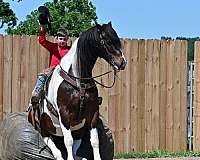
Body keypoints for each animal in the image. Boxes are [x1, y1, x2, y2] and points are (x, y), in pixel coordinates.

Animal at [28, 21, 126, 160]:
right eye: (107, 41)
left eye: (117, 40)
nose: (122, 62)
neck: (79, 81)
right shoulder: (64, 114)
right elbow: (68, 141)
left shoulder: (92, 113)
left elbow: (94, 141)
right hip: (44, 129)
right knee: (54, 147)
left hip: (79, 130)